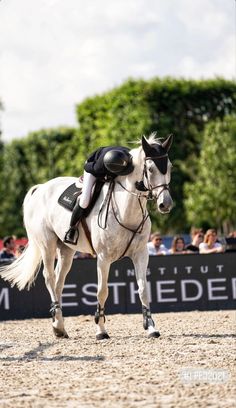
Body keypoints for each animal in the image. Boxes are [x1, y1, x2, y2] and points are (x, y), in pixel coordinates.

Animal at [0, 134, 173, 338]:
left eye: (170, 167)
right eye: (151, 169)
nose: (165, 204)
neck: (126, 211)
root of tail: (40, 188)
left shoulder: (140, 254)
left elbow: (144, 290)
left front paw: (151, 327)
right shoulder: (103, 257)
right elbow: (102, 291)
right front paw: (101, 330)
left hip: (66, 250)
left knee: (59, 282)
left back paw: (59, 327)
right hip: (47, 245)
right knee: (49, 277)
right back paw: (58, 324)